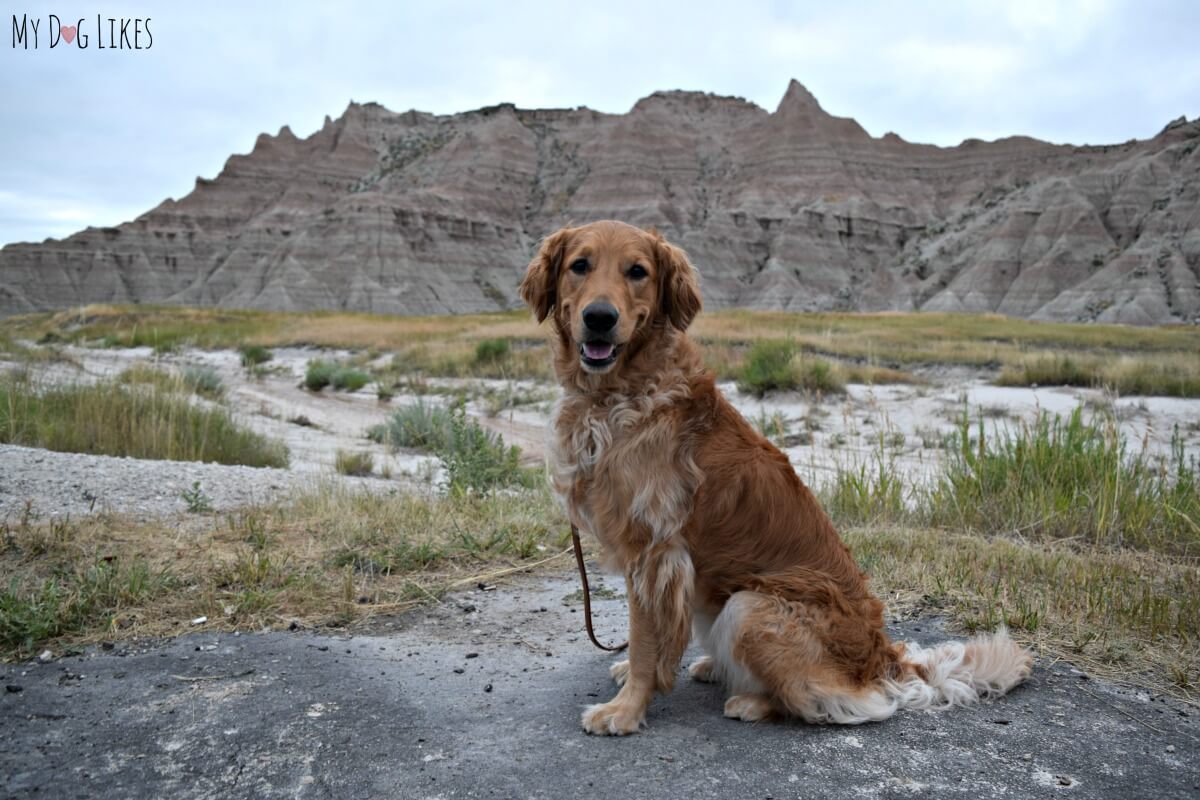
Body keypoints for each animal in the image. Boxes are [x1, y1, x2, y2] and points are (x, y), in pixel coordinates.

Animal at [520, 220, 1036, 738]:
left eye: (637, 272)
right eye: (579, 265)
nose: (599, 317)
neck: (619, 394)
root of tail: (885, 662)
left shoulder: (656, 551)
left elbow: (646, 639)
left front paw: (625, 710)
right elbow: (645, 633)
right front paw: (630, 679)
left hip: (750, 606)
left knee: (828, 704)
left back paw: (750, 700)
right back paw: (715, 667)